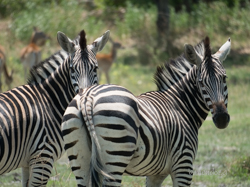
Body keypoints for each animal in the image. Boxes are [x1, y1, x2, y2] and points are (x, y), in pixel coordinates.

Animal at [0, 28, 110, 186]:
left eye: (95, 68)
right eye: (72, 69)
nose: (83, 97)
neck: (49, 102)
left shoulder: (27, 163)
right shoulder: (42, 158)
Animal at [62, 36, 230, 186]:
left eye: (224, 78)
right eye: (201, 82)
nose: (222, 118)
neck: (180, 105)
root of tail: (88, 97)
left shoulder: (155, 173)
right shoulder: (184, 165)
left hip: (80, 160)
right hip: (116, 157)